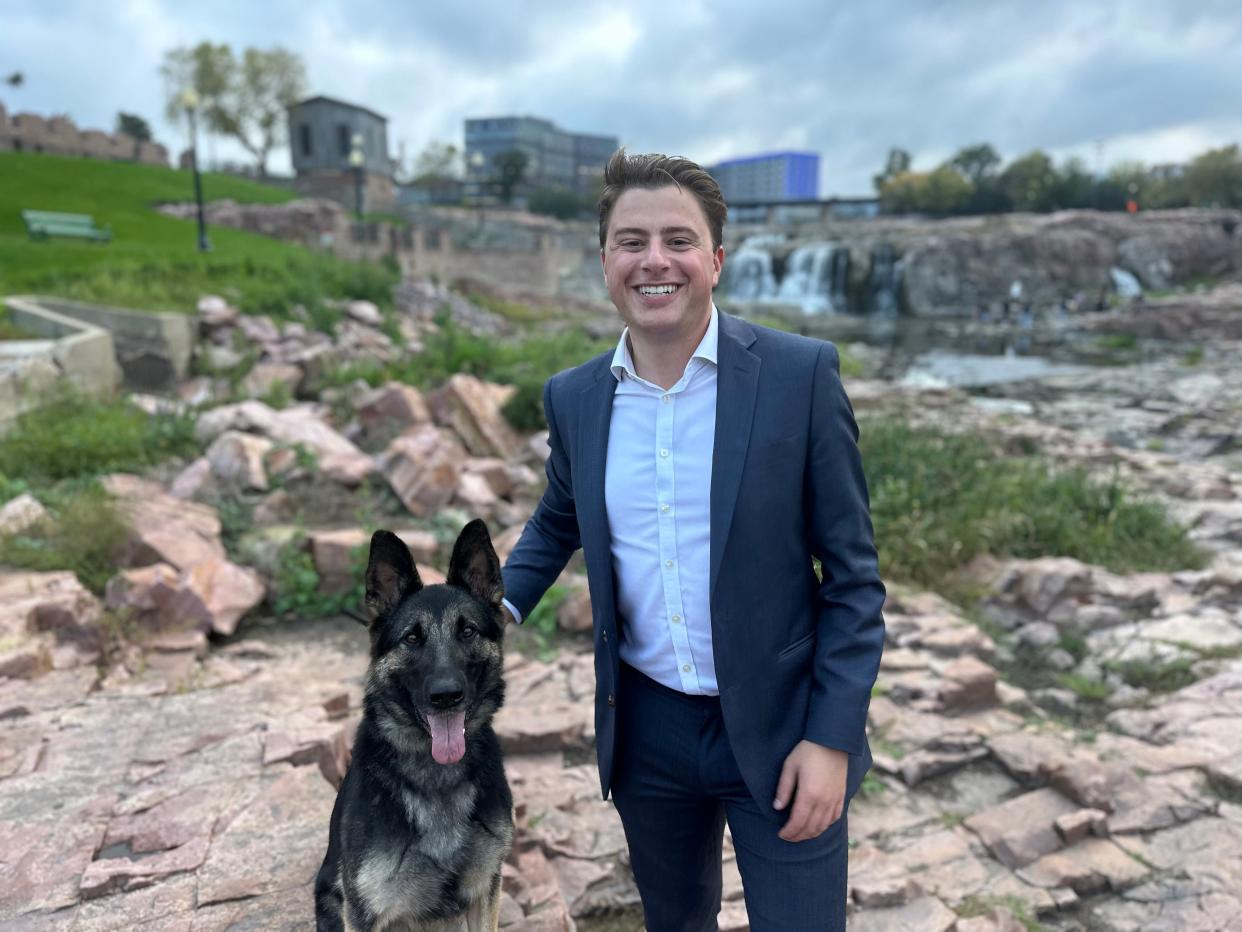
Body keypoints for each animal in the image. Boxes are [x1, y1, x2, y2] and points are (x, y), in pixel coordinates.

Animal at [320, 521, 519, 932]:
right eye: (412, 638)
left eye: (468, 632)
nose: (446, 696)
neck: (437, 776)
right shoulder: (364, 911)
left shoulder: (486, 888)